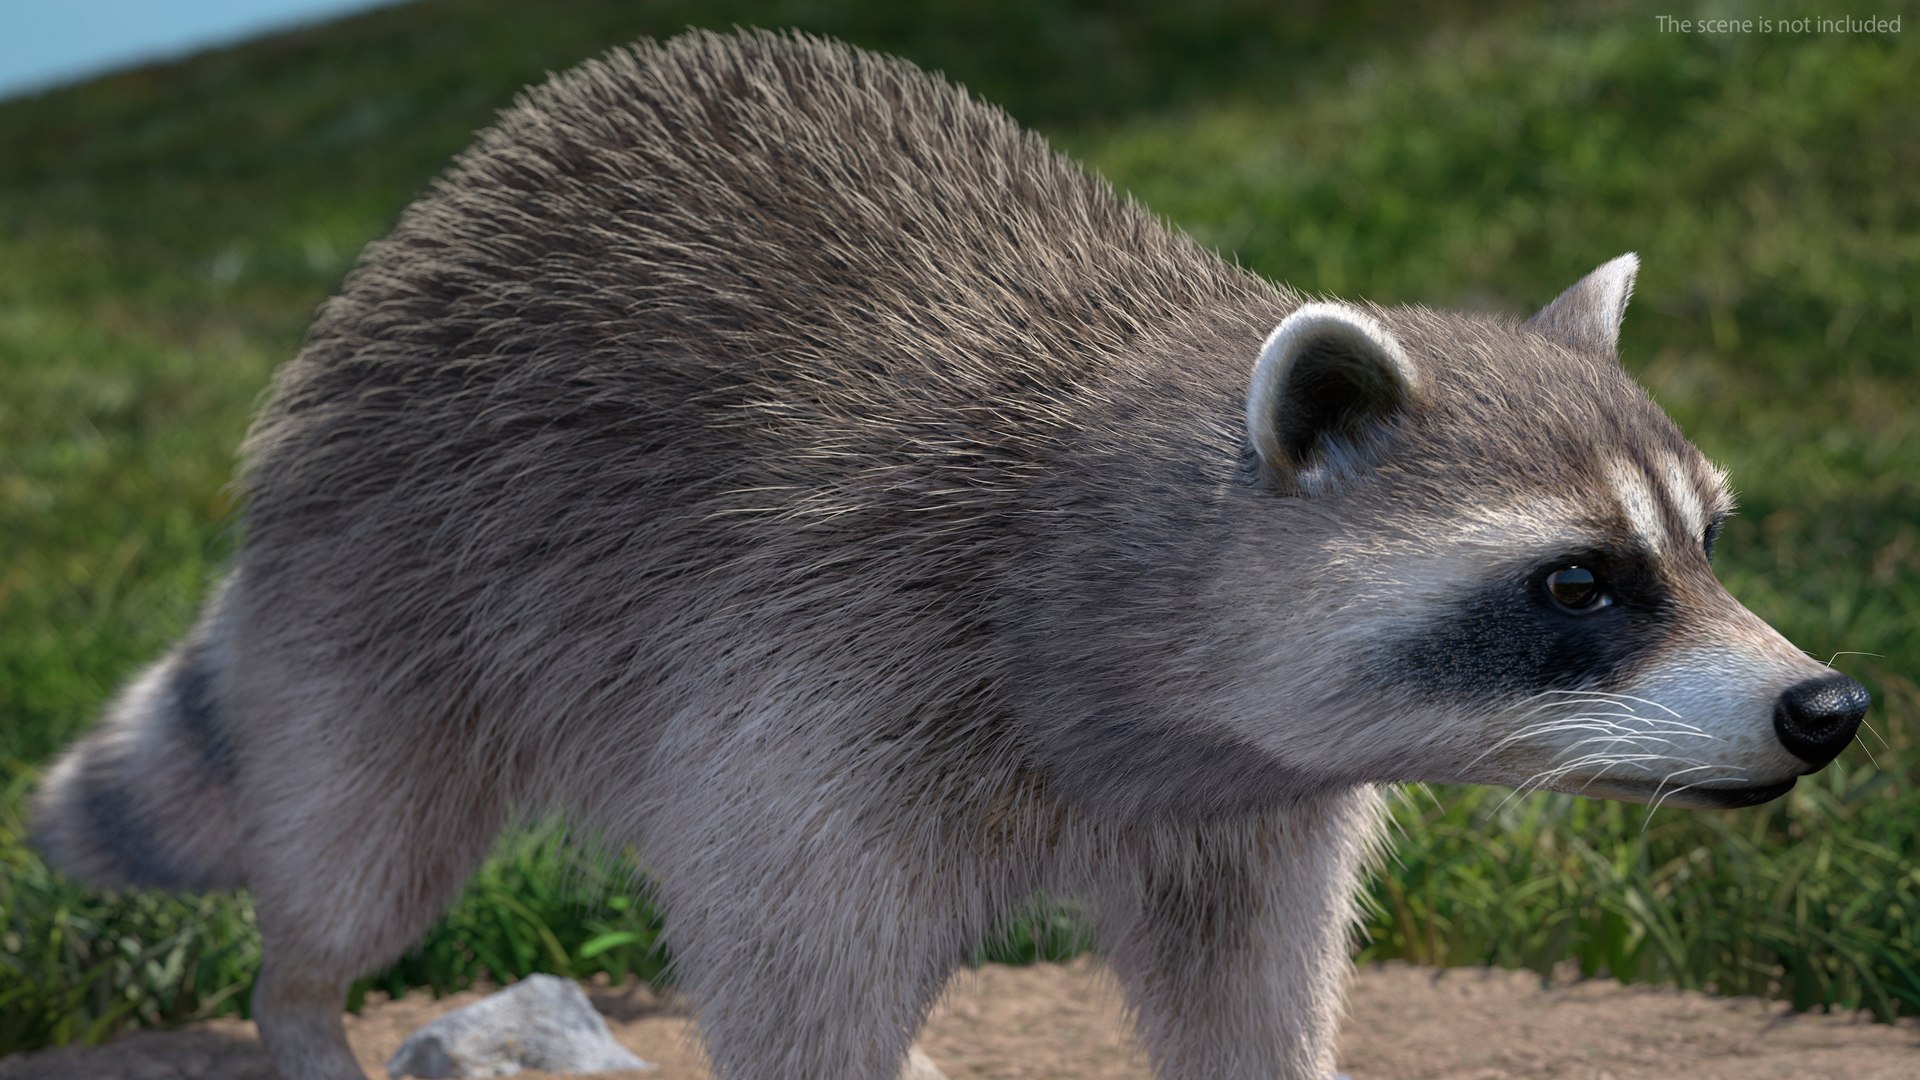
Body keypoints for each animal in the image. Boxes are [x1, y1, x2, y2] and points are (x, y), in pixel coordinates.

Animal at [30, 28, 1868, 1080]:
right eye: (1578, 582)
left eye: (1706, 540)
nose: (1829, 708)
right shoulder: (821, 677)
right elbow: (799, 985)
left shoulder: (1248, 815)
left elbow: (1247, 1003)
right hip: (402, 577)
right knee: (362, 856)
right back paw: (300, 1005)